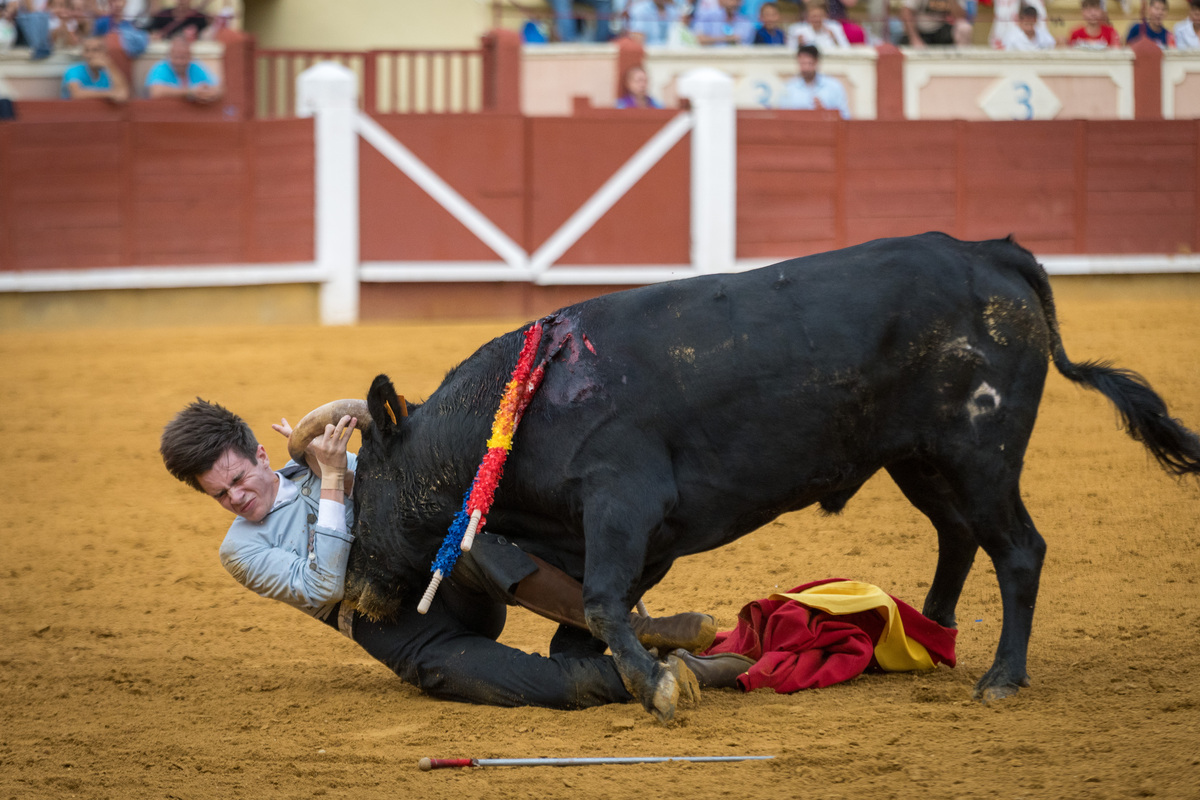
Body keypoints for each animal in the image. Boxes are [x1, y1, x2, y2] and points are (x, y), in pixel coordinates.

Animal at [297, 235, 1200, 724]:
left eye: (364, 488)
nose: (353, 601)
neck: (516, 409)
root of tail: (990, 253)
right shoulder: (628, 534)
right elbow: (598, 608)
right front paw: (670, 657)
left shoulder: (624, 500)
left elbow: (603, 601)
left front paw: (659, 687)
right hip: (920, 457)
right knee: (957, 536)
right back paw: (929, 630)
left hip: (983, 450)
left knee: (1018, 550)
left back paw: (1001, 679)